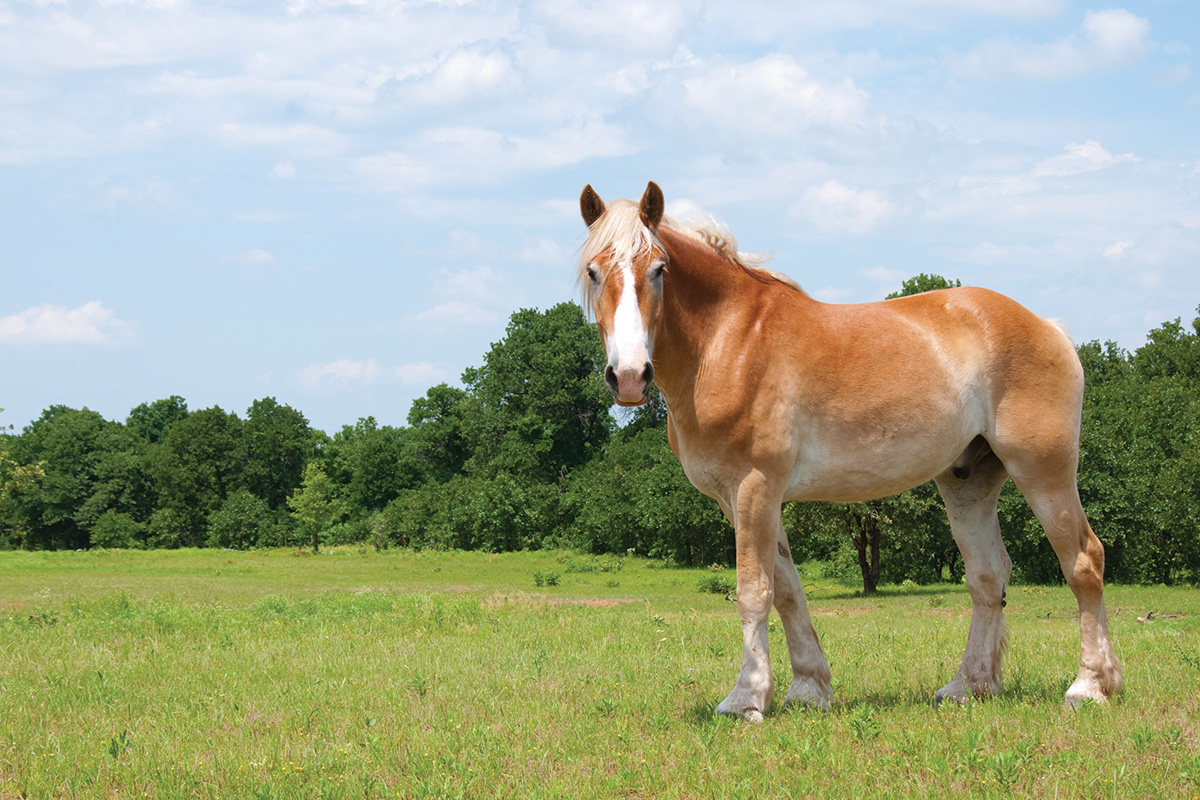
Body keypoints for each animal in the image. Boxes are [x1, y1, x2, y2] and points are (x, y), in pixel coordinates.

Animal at [576, 184, 1118, 724]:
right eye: (594, 271)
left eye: (658, 269)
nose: (629, 377)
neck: (729, 341)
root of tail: (1048, 327)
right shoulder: (739, 500)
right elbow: (787, 590)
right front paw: (807, 688)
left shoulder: (755, 487)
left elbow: (754, 592)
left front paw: (746, 698)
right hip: (968, 481)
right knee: (988, 577)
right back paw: (969, 686)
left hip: (1044, 472)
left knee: (1084, 560)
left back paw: (1090, 685)